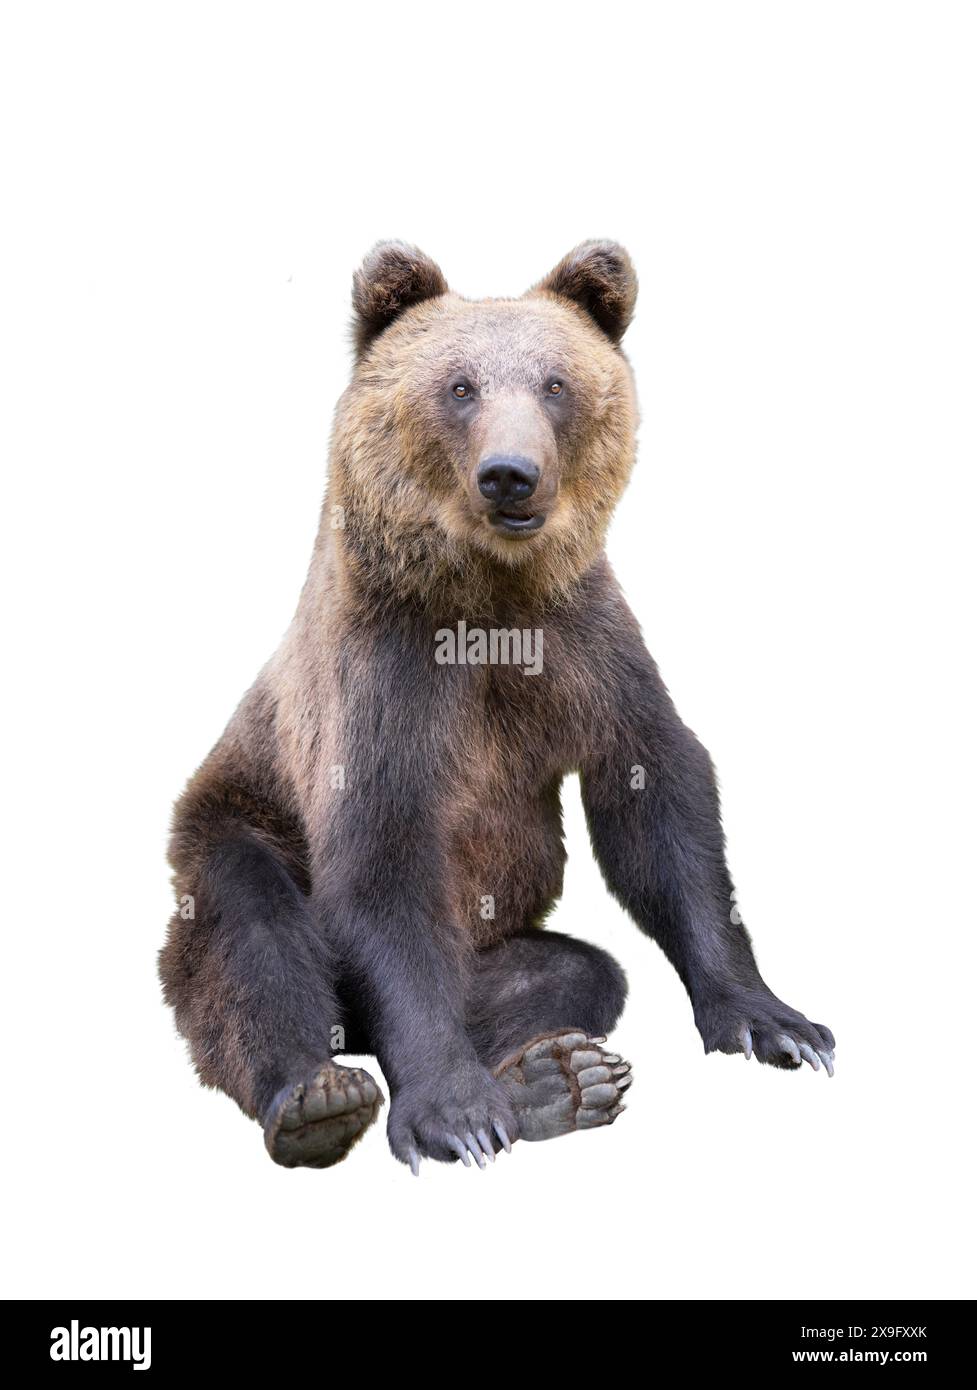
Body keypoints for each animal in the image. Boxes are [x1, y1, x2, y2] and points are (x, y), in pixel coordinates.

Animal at [159, 241, 835, 1173]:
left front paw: (775, 1022)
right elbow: (381, 860)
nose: (509, 475)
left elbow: (658, 799)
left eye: (555, 383)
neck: (487, 597)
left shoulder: (584, 645)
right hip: (234, 818)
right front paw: (452, 1112)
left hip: (485, 944)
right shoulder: (387, 675)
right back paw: (318, 1098)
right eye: (459, 386)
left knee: (572, 975)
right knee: (250, 937)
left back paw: (552, 1080)